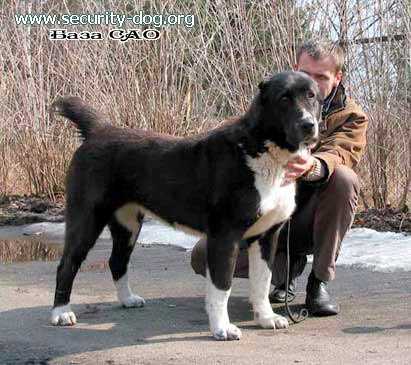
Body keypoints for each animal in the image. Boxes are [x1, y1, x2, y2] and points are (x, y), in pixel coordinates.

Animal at [50, 70, 322, 338]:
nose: (309, 125)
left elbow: (262, 281)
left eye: (311, 96)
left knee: (117, 261)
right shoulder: (225, 236)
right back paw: (61, 312)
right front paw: (222, 328)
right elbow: (222, 286)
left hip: (128, 225)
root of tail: (98, 130)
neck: (262, 148)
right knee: (67, 264)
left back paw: (128, 299)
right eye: (284, 99)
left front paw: (266, 318)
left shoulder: (267, 237)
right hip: (86, 218)